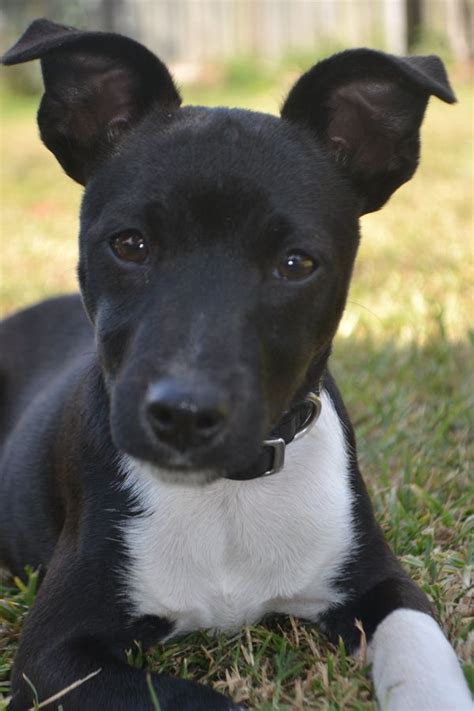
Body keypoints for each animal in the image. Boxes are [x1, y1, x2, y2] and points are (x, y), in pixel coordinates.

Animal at [0, 18, 474, 711]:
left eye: (296, 263)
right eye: (130, 244)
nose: (185, 414)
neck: (227, 493)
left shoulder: (383, 584)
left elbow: (424, 652)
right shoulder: (55, 660)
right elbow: (204, 700)